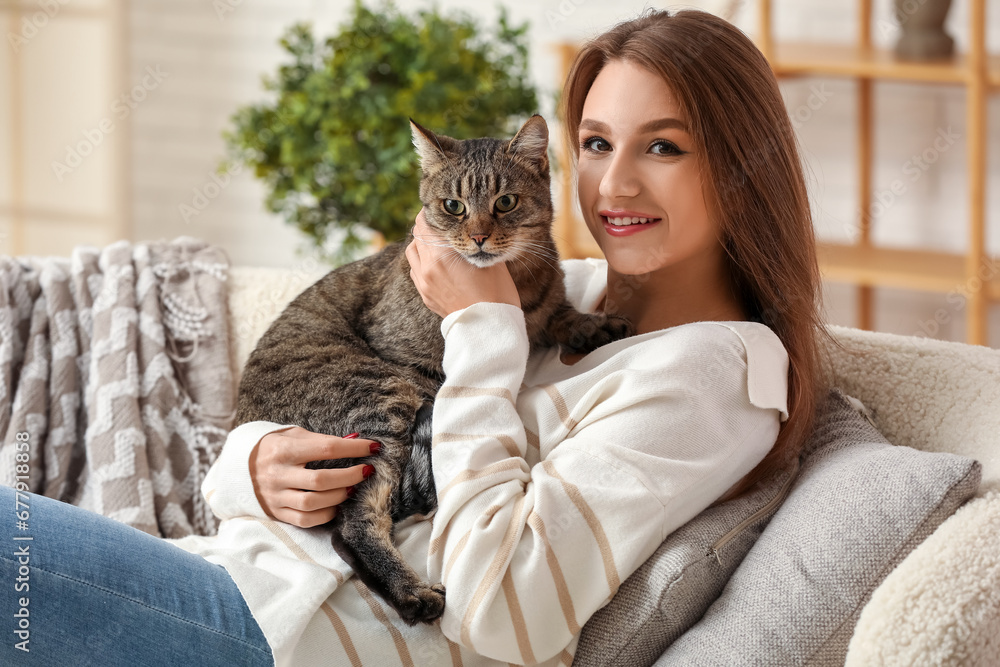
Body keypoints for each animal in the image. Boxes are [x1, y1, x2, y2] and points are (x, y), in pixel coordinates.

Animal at [236, 116, 632, 628]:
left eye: (505, 202)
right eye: (453, 207)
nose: (479, 237)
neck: (517, 288)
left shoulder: (549, 306)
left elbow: (563, 314)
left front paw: (594, 323)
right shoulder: (408, 364)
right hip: (379, 399)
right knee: (353, 524)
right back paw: (411, 594)